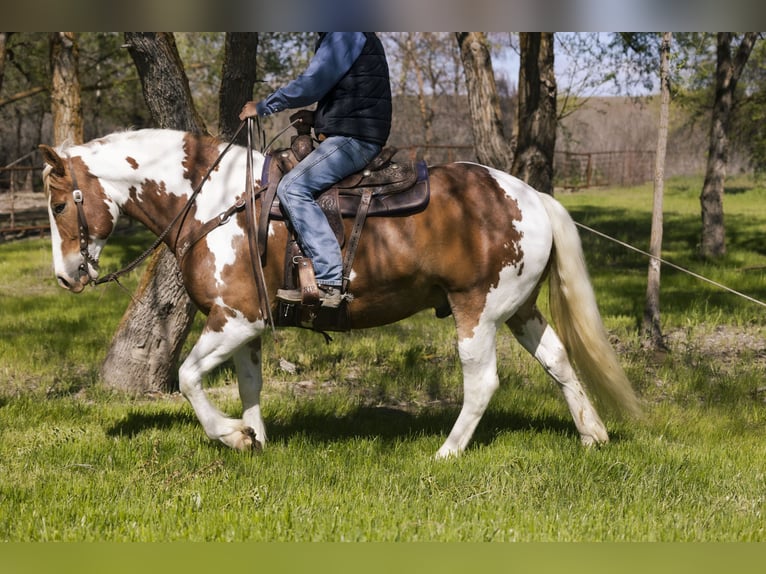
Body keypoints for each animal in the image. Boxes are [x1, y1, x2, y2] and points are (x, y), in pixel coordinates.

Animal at [39, 128, 640, 458]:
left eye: (61, 203)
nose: (67, 276)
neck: (217, 202)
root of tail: (532, 196)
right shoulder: (249, 327)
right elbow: (251, 384)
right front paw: (257, 439)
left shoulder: (234, 318)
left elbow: (188, 378)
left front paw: (231, 436)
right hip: (519, 310)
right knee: (559, 362)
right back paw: (592, 435)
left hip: (477, 310)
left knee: (483, 382)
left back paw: (447, 452)